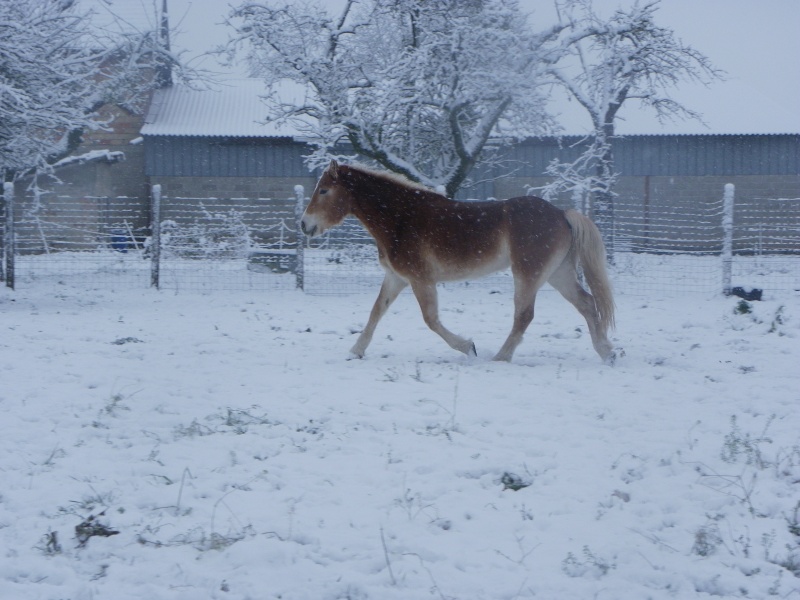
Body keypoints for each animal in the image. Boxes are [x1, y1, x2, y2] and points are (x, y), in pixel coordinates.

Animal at [300, 159, 620, 364]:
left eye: (324, 190)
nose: (304, 225)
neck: (400, 218)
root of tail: (562, 214)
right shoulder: (396, 278)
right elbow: (376, 312)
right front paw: (355, 351)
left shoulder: (421, 279)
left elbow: (430, 320)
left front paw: (469, 347)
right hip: (558, 274)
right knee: (587, 304)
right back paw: (607, 352)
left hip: (528, 274)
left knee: (524, 315)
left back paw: (500, 358)